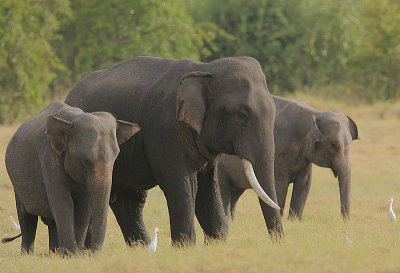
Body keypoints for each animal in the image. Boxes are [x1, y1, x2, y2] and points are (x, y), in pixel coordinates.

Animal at [3, 101, 140, 253]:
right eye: (85, 160)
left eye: (115, 158)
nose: (92, 253)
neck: (72, 120)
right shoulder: (48, 157)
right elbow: (63, 202)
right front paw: (71, 253)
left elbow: (84, 207)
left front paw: (75, 253)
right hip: (16, 182)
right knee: (26, 216)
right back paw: (29, 254)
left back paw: (55, 252)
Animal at [65, 55, 282, 244]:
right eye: (242, 114)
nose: (278, 242)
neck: (205, 69)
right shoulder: (166, 131)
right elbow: (183, 186)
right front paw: (185, 247)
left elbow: (207, 189)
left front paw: (216, 243)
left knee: (129, 202)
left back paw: (142, 247)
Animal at [217, 95, 358, 221]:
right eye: (333, 145)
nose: (345, 220)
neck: (313, 113)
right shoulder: (279, 147)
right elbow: (280, 184)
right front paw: (281, 217)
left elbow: (304, 184)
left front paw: (294, 221)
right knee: (223, 191)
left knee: (235, 194)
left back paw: (232, 221)